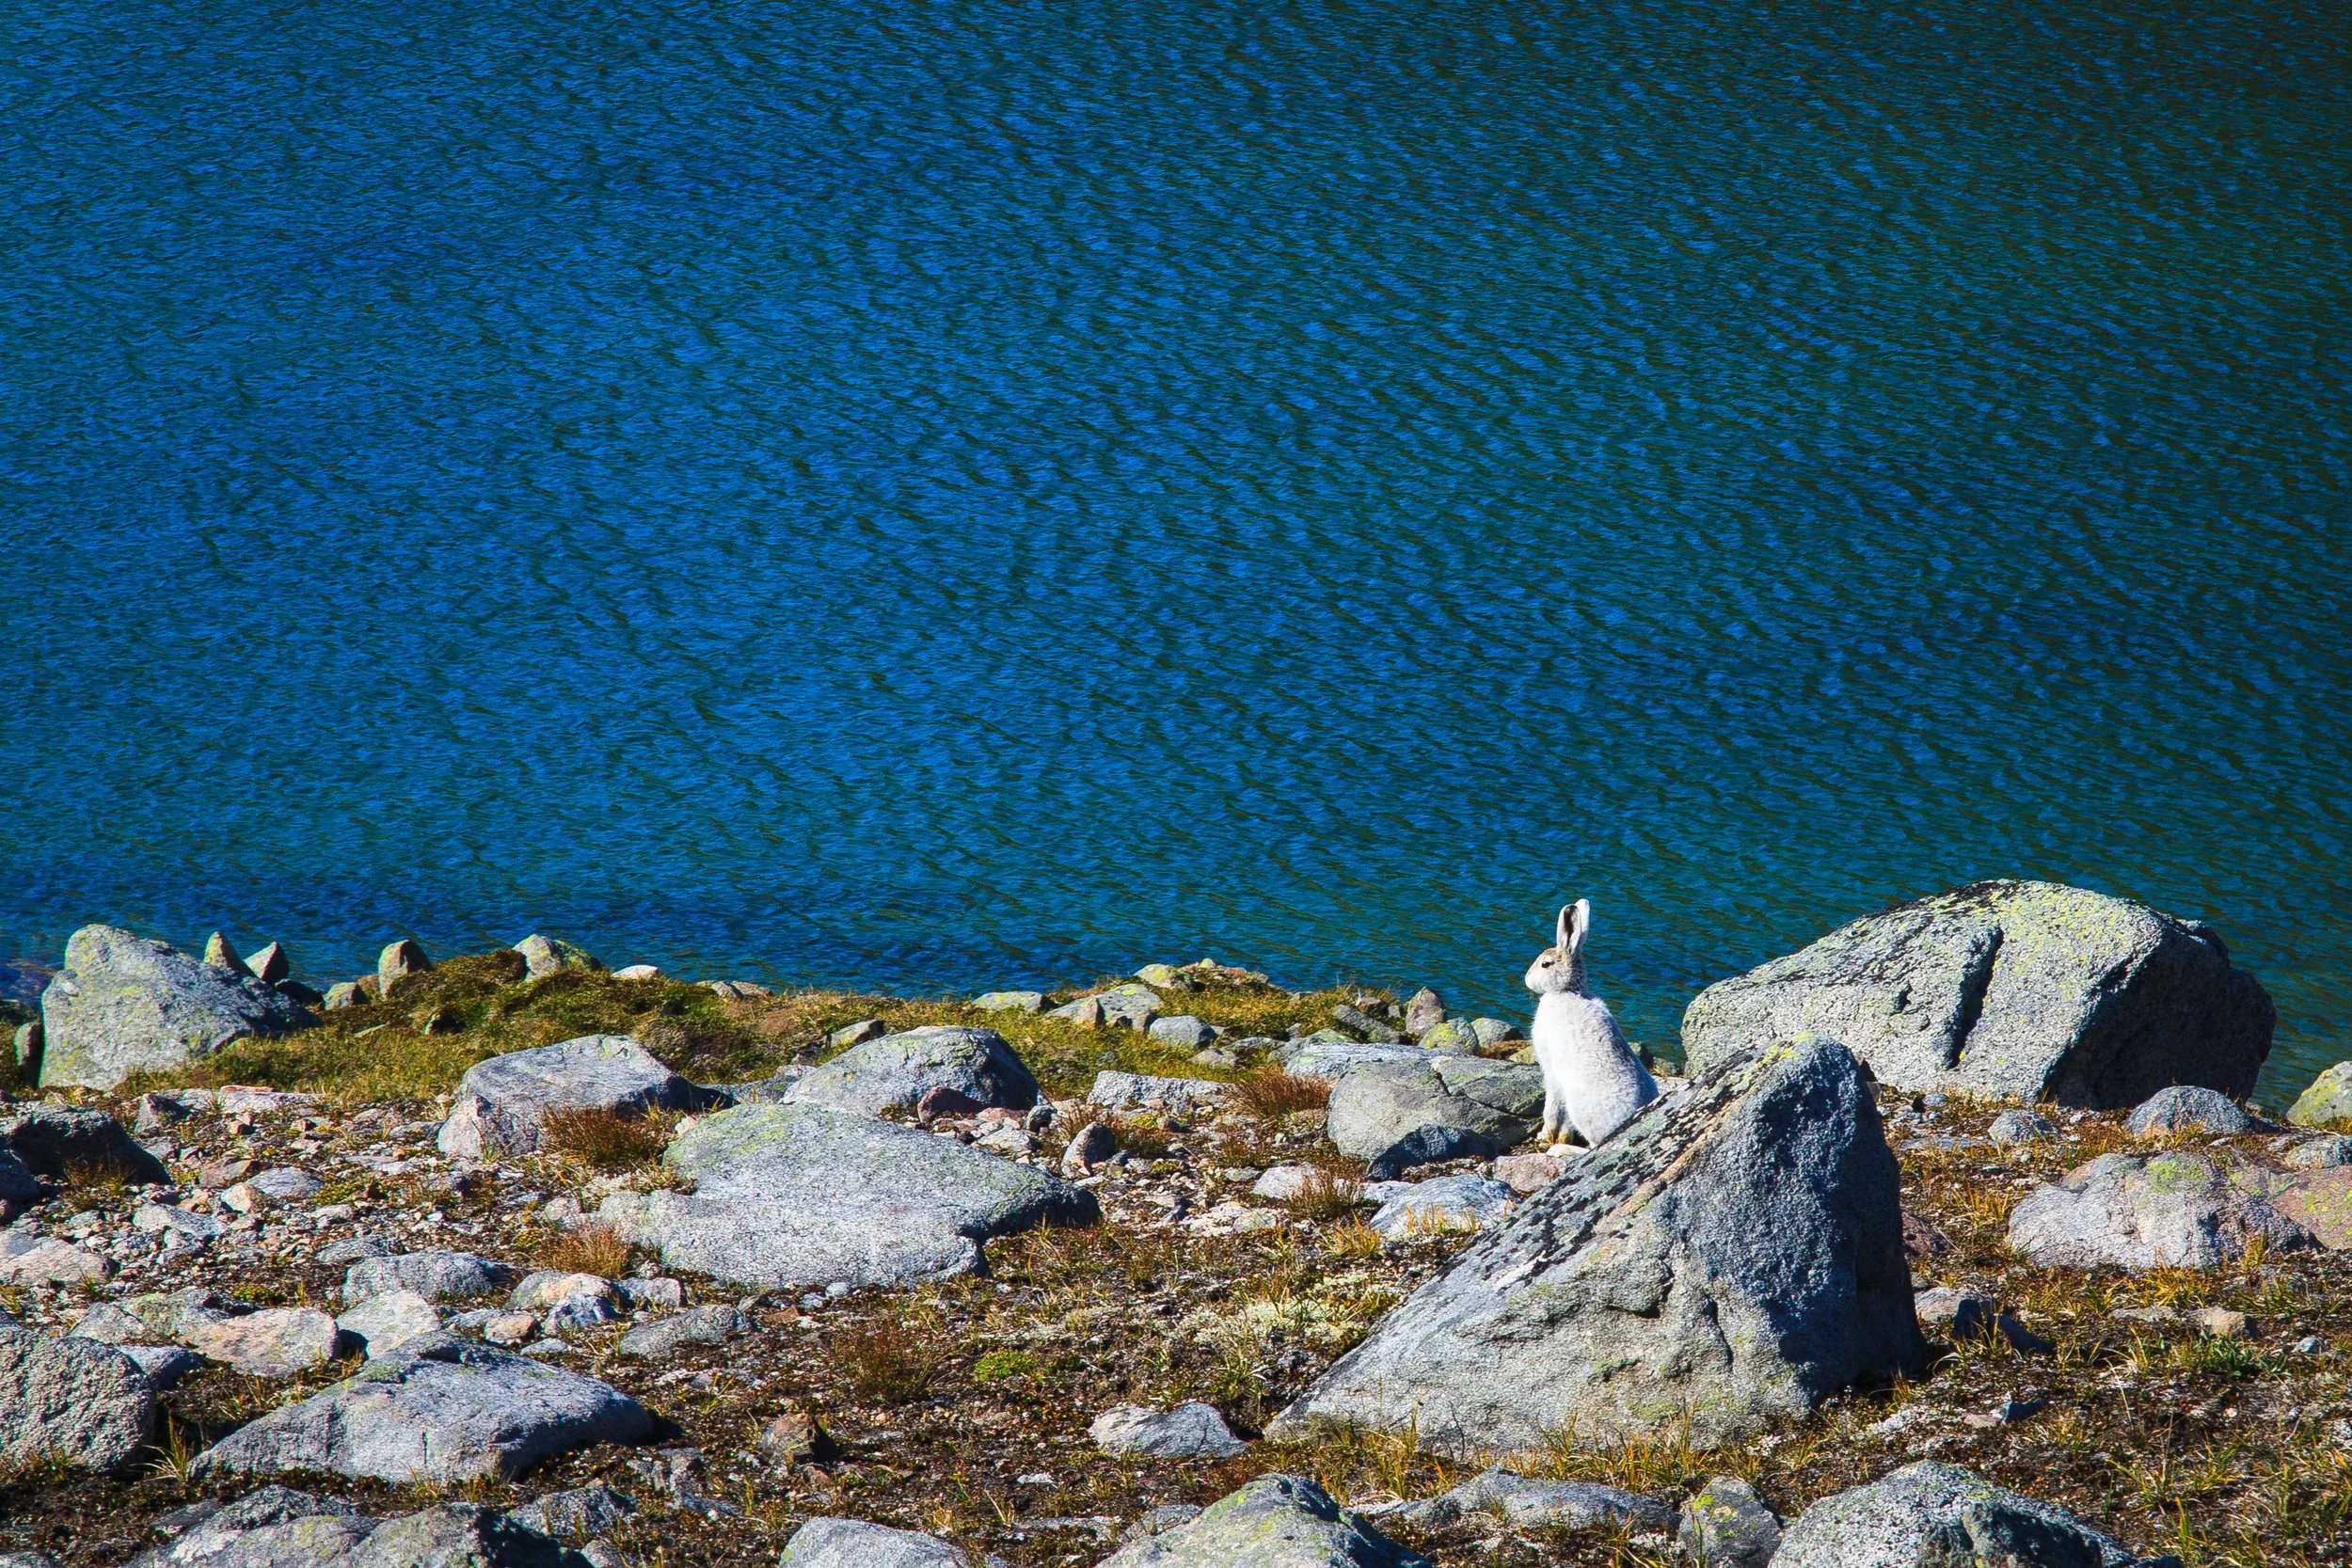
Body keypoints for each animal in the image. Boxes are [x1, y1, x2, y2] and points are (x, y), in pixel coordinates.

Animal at [1525, 898, 1657, 1148]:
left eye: (1546, 964)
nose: (1526, 979)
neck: (1567, 991)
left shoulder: (1551, 1070)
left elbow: (1552, 1107)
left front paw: (1545, 1136)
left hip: (1583, 1110)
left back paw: (1559, 1151)